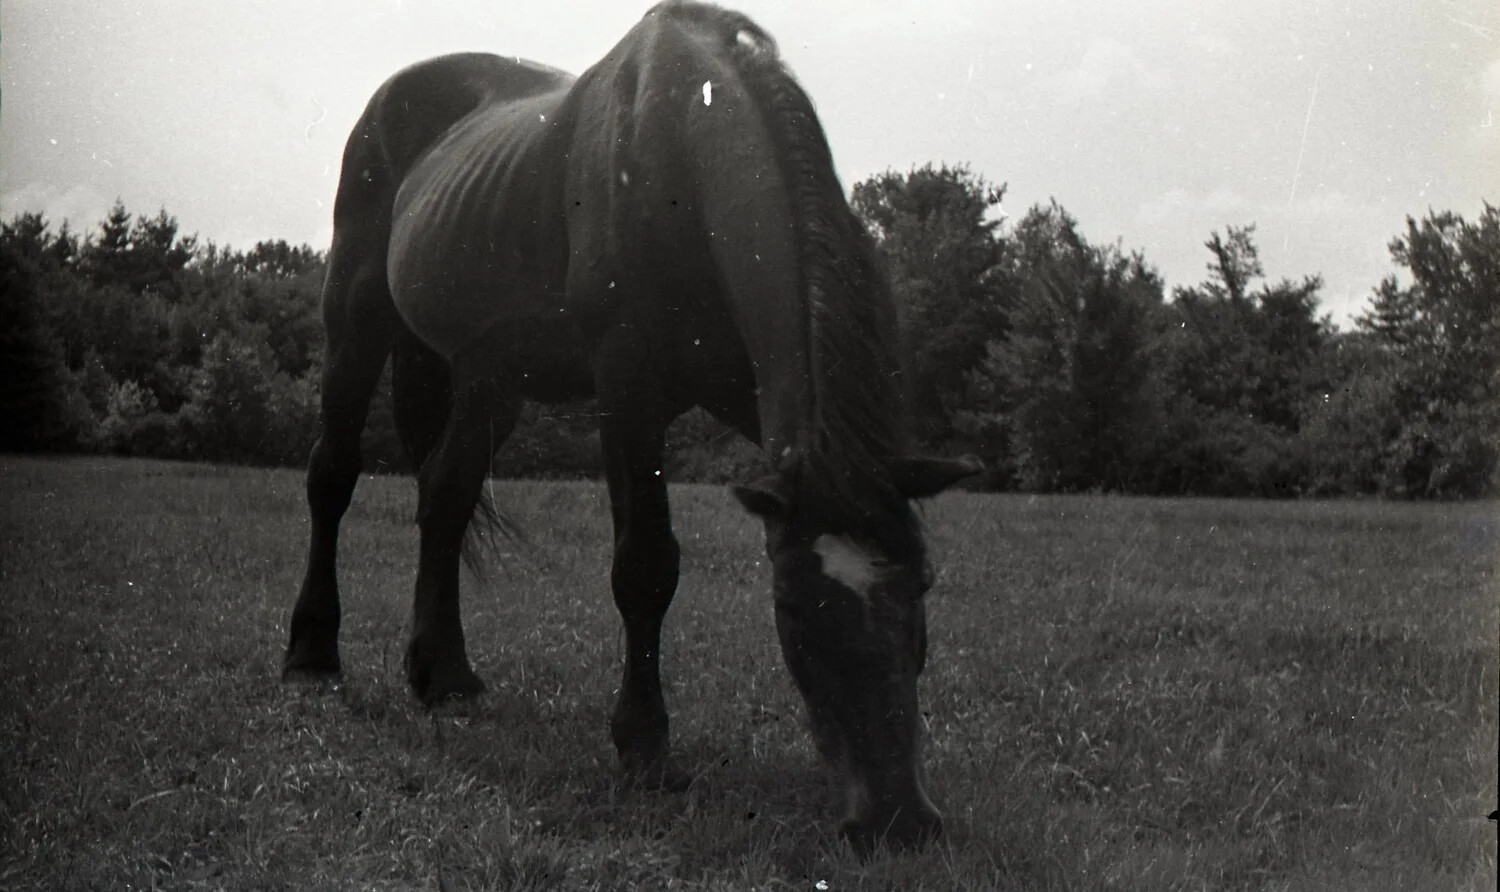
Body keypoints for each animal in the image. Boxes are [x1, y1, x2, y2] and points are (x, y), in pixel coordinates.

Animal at [282, 0, 979, 849]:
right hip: (354, 322)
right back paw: (312, 653)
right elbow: (645, 567)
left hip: (487, 380)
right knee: (332, 477)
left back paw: (444, 674)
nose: (898, 819)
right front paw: (644, 748)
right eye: (793, 608)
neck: (681, 159)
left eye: (923, 585)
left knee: (444, 498)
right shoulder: (628, 396)